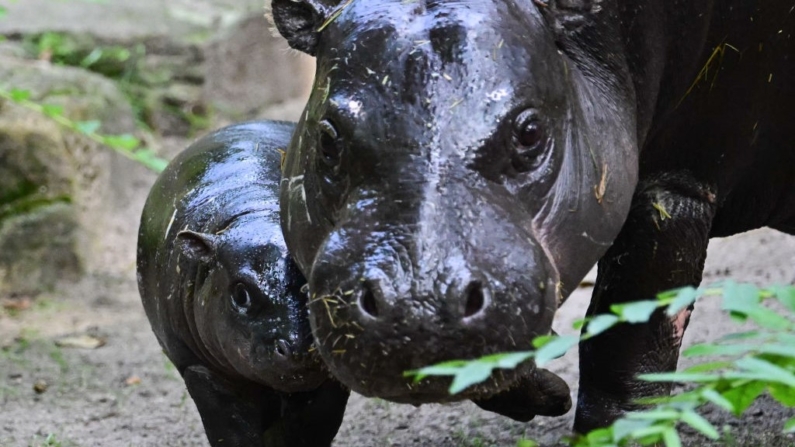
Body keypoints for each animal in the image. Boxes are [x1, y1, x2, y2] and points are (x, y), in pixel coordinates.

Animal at [137, 121, 348, 446]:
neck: (255, 210)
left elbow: (311, 427)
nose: (299, 348)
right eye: (240, 294)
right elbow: (231, 431)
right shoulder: (202, 370)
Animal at [270, 0, 792, 436]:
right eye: (327, 139)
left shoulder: (675, 185)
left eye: (530, 131)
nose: (418, 306)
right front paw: (547, 393)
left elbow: (629, 342)